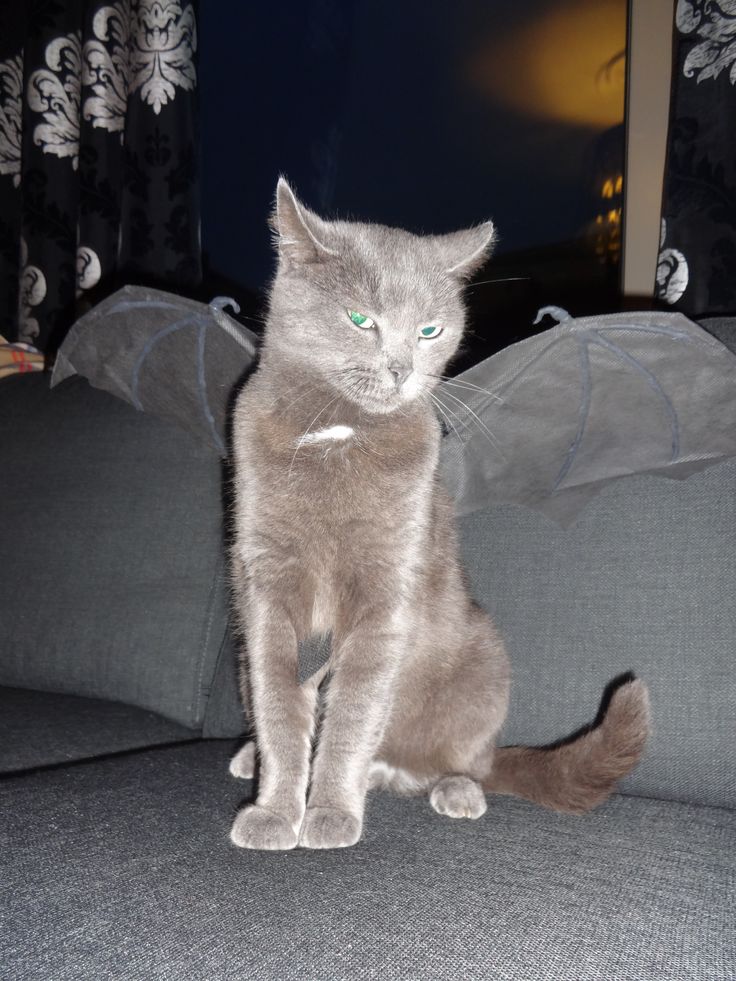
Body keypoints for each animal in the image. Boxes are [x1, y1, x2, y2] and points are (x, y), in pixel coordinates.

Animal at [227, 178, 648, 848]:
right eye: (360, 319)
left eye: (429, 330)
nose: (401, 369)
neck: (340, 430)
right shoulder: (266, 579)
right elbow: (278, 706)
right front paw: (272, 813)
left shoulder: (387, 587)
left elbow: (354, 713)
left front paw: (330, 814)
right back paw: (250, 757)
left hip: (485, 660)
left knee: (462, 760)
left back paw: (451, 789)